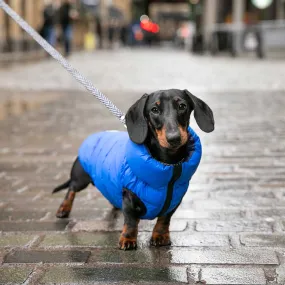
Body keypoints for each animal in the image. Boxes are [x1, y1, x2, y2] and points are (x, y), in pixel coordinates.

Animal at [52, 88, 213, 248]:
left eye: (182, 106)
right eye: (154, 110)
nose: (174, 138)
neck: (169, 167)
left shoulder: (174, 200)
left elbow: (164, 219)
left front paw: (160, 236)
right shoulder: (129, 195)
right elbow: (130, 221)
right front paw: (128, 239)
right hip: (81, 177)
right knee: (71, 189)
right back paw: (63, 209)